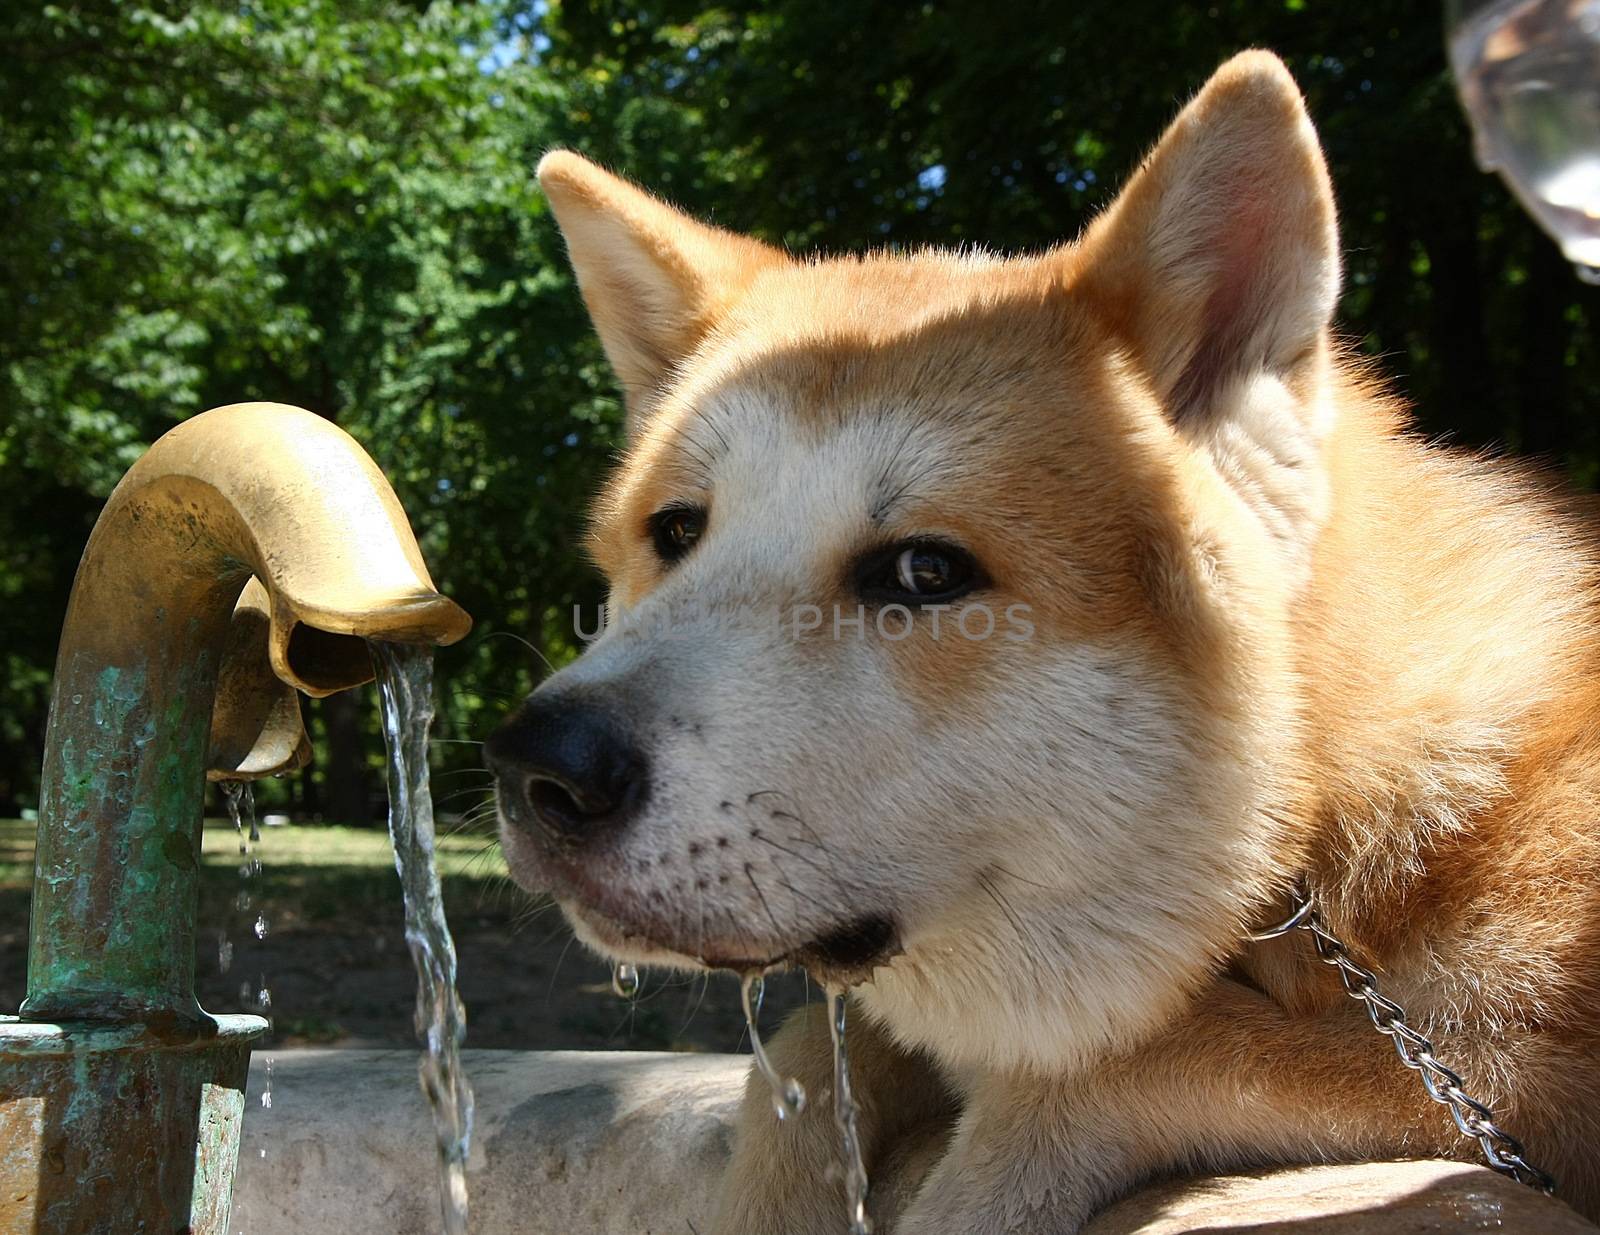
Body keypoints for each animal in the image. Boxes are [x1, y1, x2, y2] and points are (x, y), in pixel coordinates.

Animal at [486, 50, 1600, 1235]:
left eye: (925, 572)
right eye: (676, 533)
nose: (536, 765)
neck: (1316, 836)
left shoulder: (1521, 1079)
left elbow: (1122, 1064)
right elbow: (801, 1067)